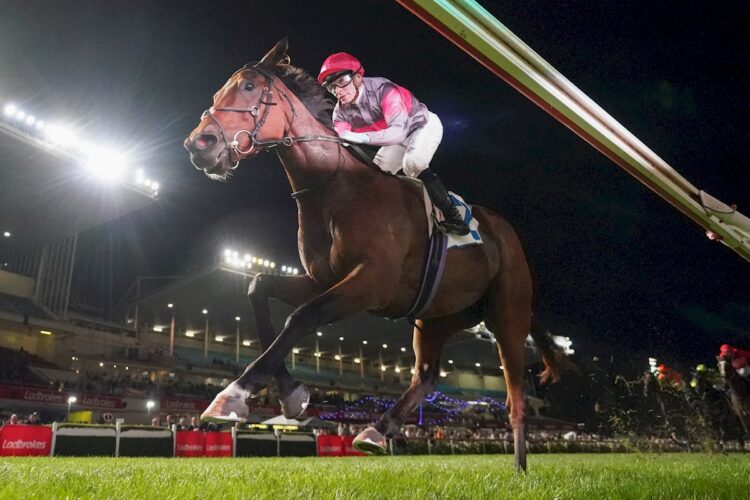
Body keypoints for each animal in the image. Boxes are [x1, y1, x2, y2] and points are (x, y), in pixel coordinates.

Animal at [184, 39, 568, 470]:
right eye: (218, 93)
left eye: (248, 87)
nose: (199, 145)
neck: (335, 187)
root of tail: (506, 234)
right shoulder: (322, 278)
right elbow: (257, 286)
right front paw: (291, 393)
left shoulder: (370, 283)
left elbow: (303, 315)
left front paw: (232, 395)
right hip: (437, 317)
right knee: (426, 375)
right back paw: (375, 431)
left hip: (508, 315)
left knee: (516, 399)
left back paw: (519, 469)